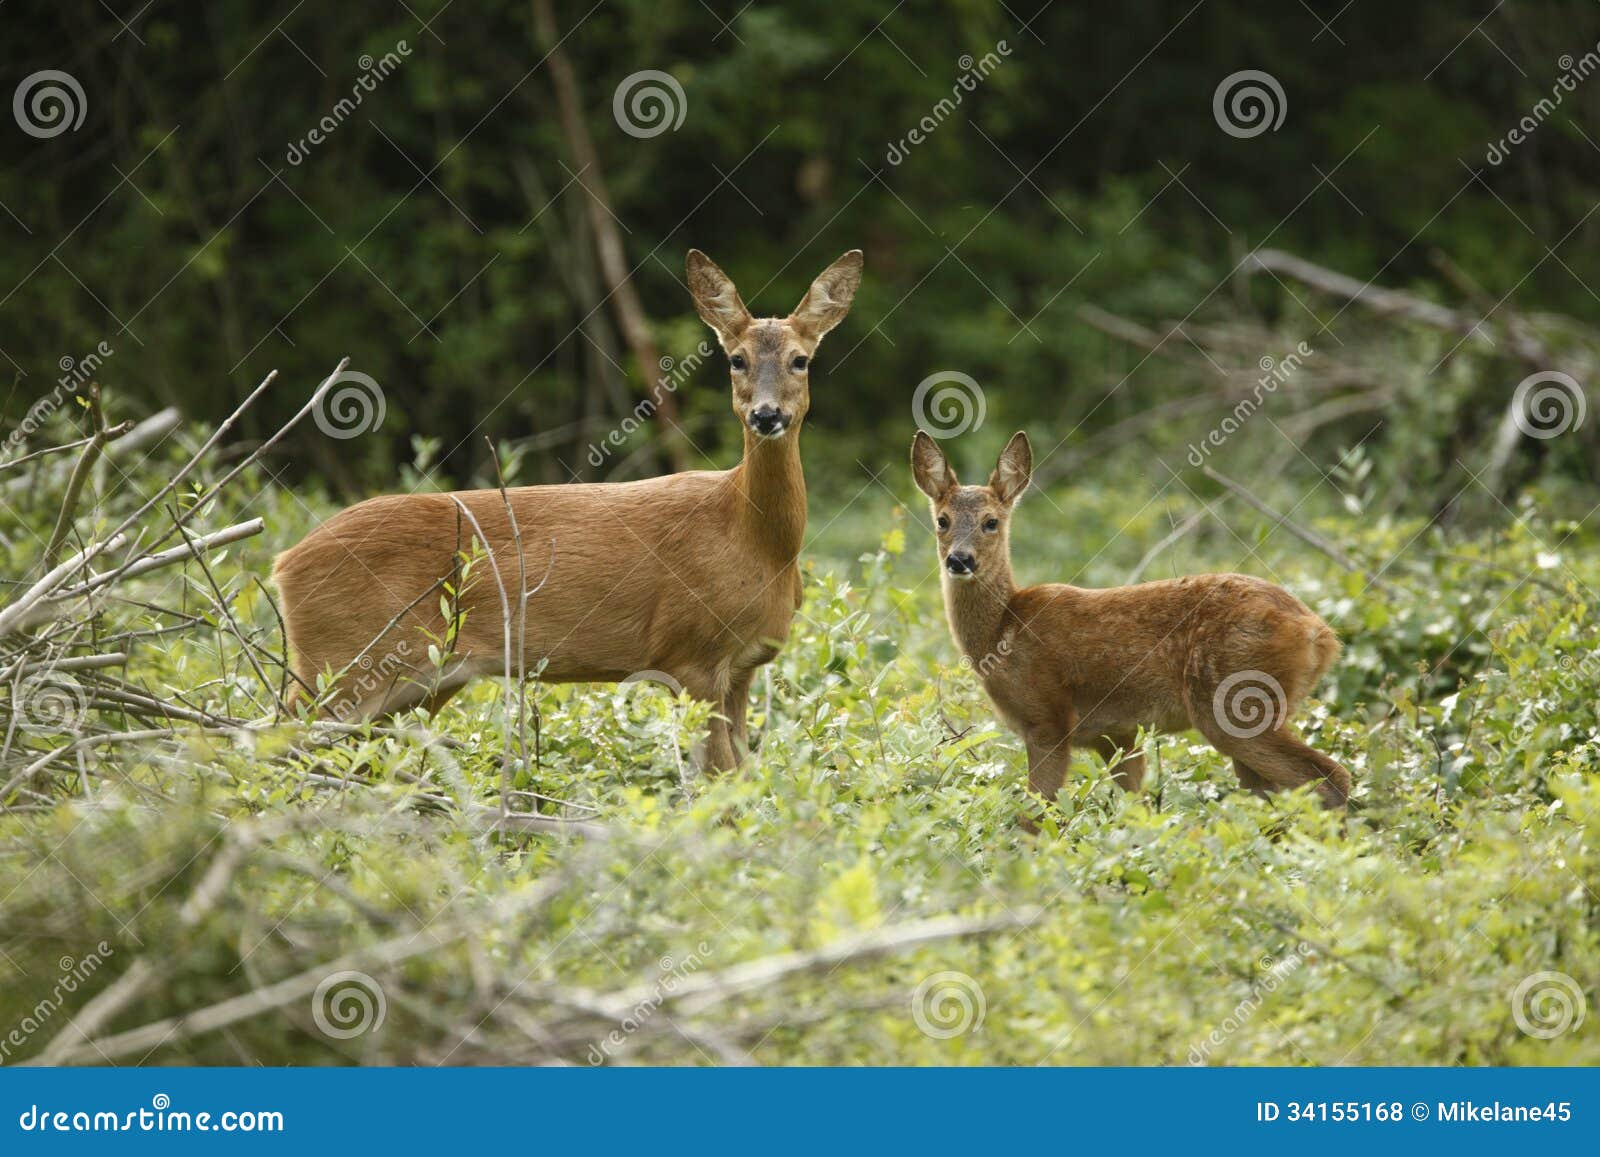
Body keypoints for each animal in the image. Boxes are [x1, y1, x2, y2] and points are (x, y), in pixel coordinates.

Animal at [281, 246, 870, 768]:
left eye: (800, 360)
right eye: (736, 359)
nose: (766, 416)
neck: (754, 539)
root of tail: (284, 561)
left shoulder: (743, 666)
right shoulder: (689, 653)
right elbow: (723, 780)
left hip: (417, 678)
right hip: (343, 659)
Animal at [915, 428, 1350, 816]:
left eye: (991, 522)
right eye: (942, 520)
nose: (959, 560)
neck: (1003, 629)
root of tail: (1320, 634)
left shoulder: (1048, 718)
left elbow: (1034, 815)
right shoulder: (1117, 734)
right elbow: (1134, 804)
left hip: (1235, 703)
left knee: (1329, 777)